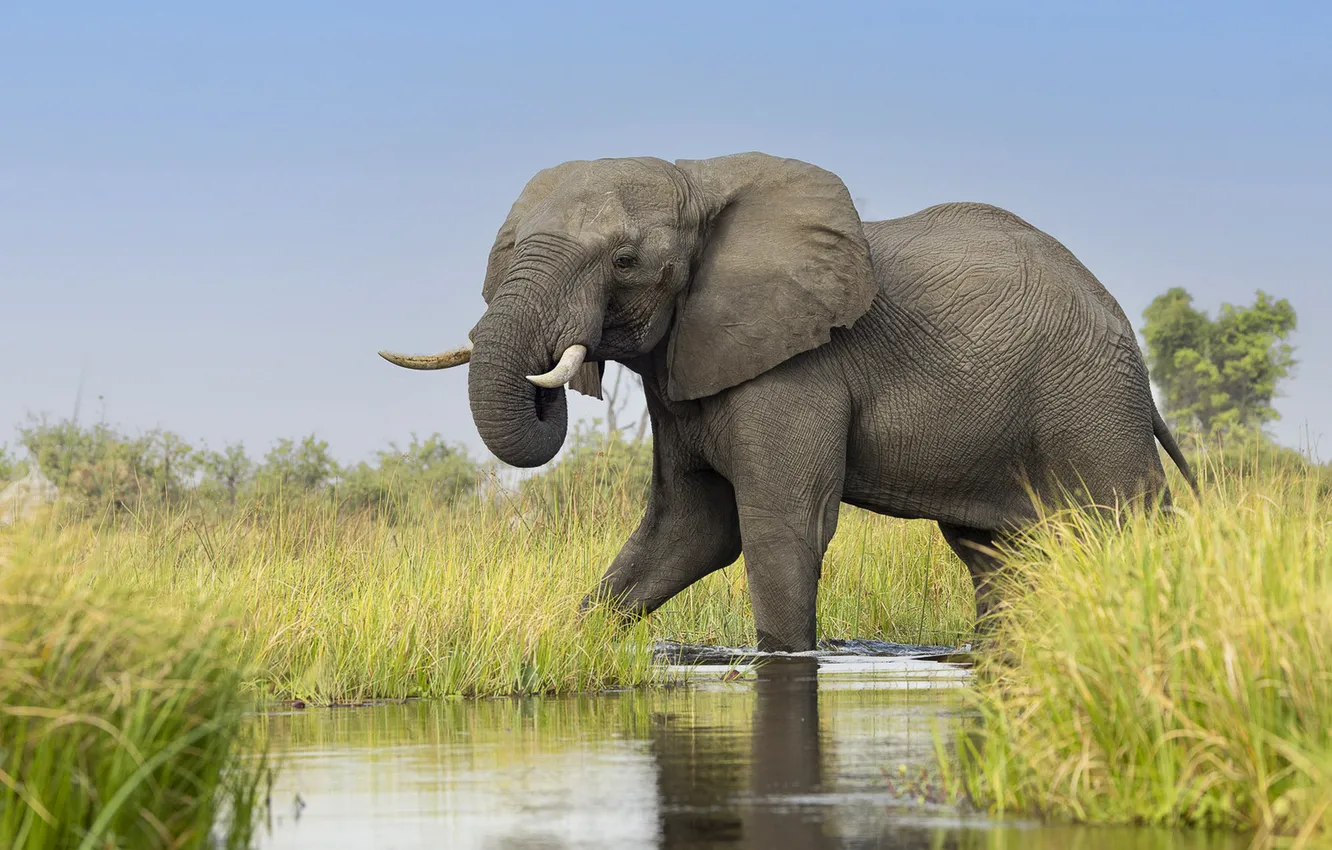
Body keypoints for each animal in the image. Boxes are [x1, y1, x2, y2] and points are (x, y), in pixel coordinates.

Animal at [379, 151, 1197, 652]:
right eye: (508, 247)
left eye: (625, 261)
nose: (555, 367)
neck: (698, 179)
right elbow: (688, 532)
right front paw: (556, 644)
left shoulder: (797, 368)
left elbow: (777, 527)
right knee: (994, 554)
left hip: (1090, 397)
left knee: (1125, 524)